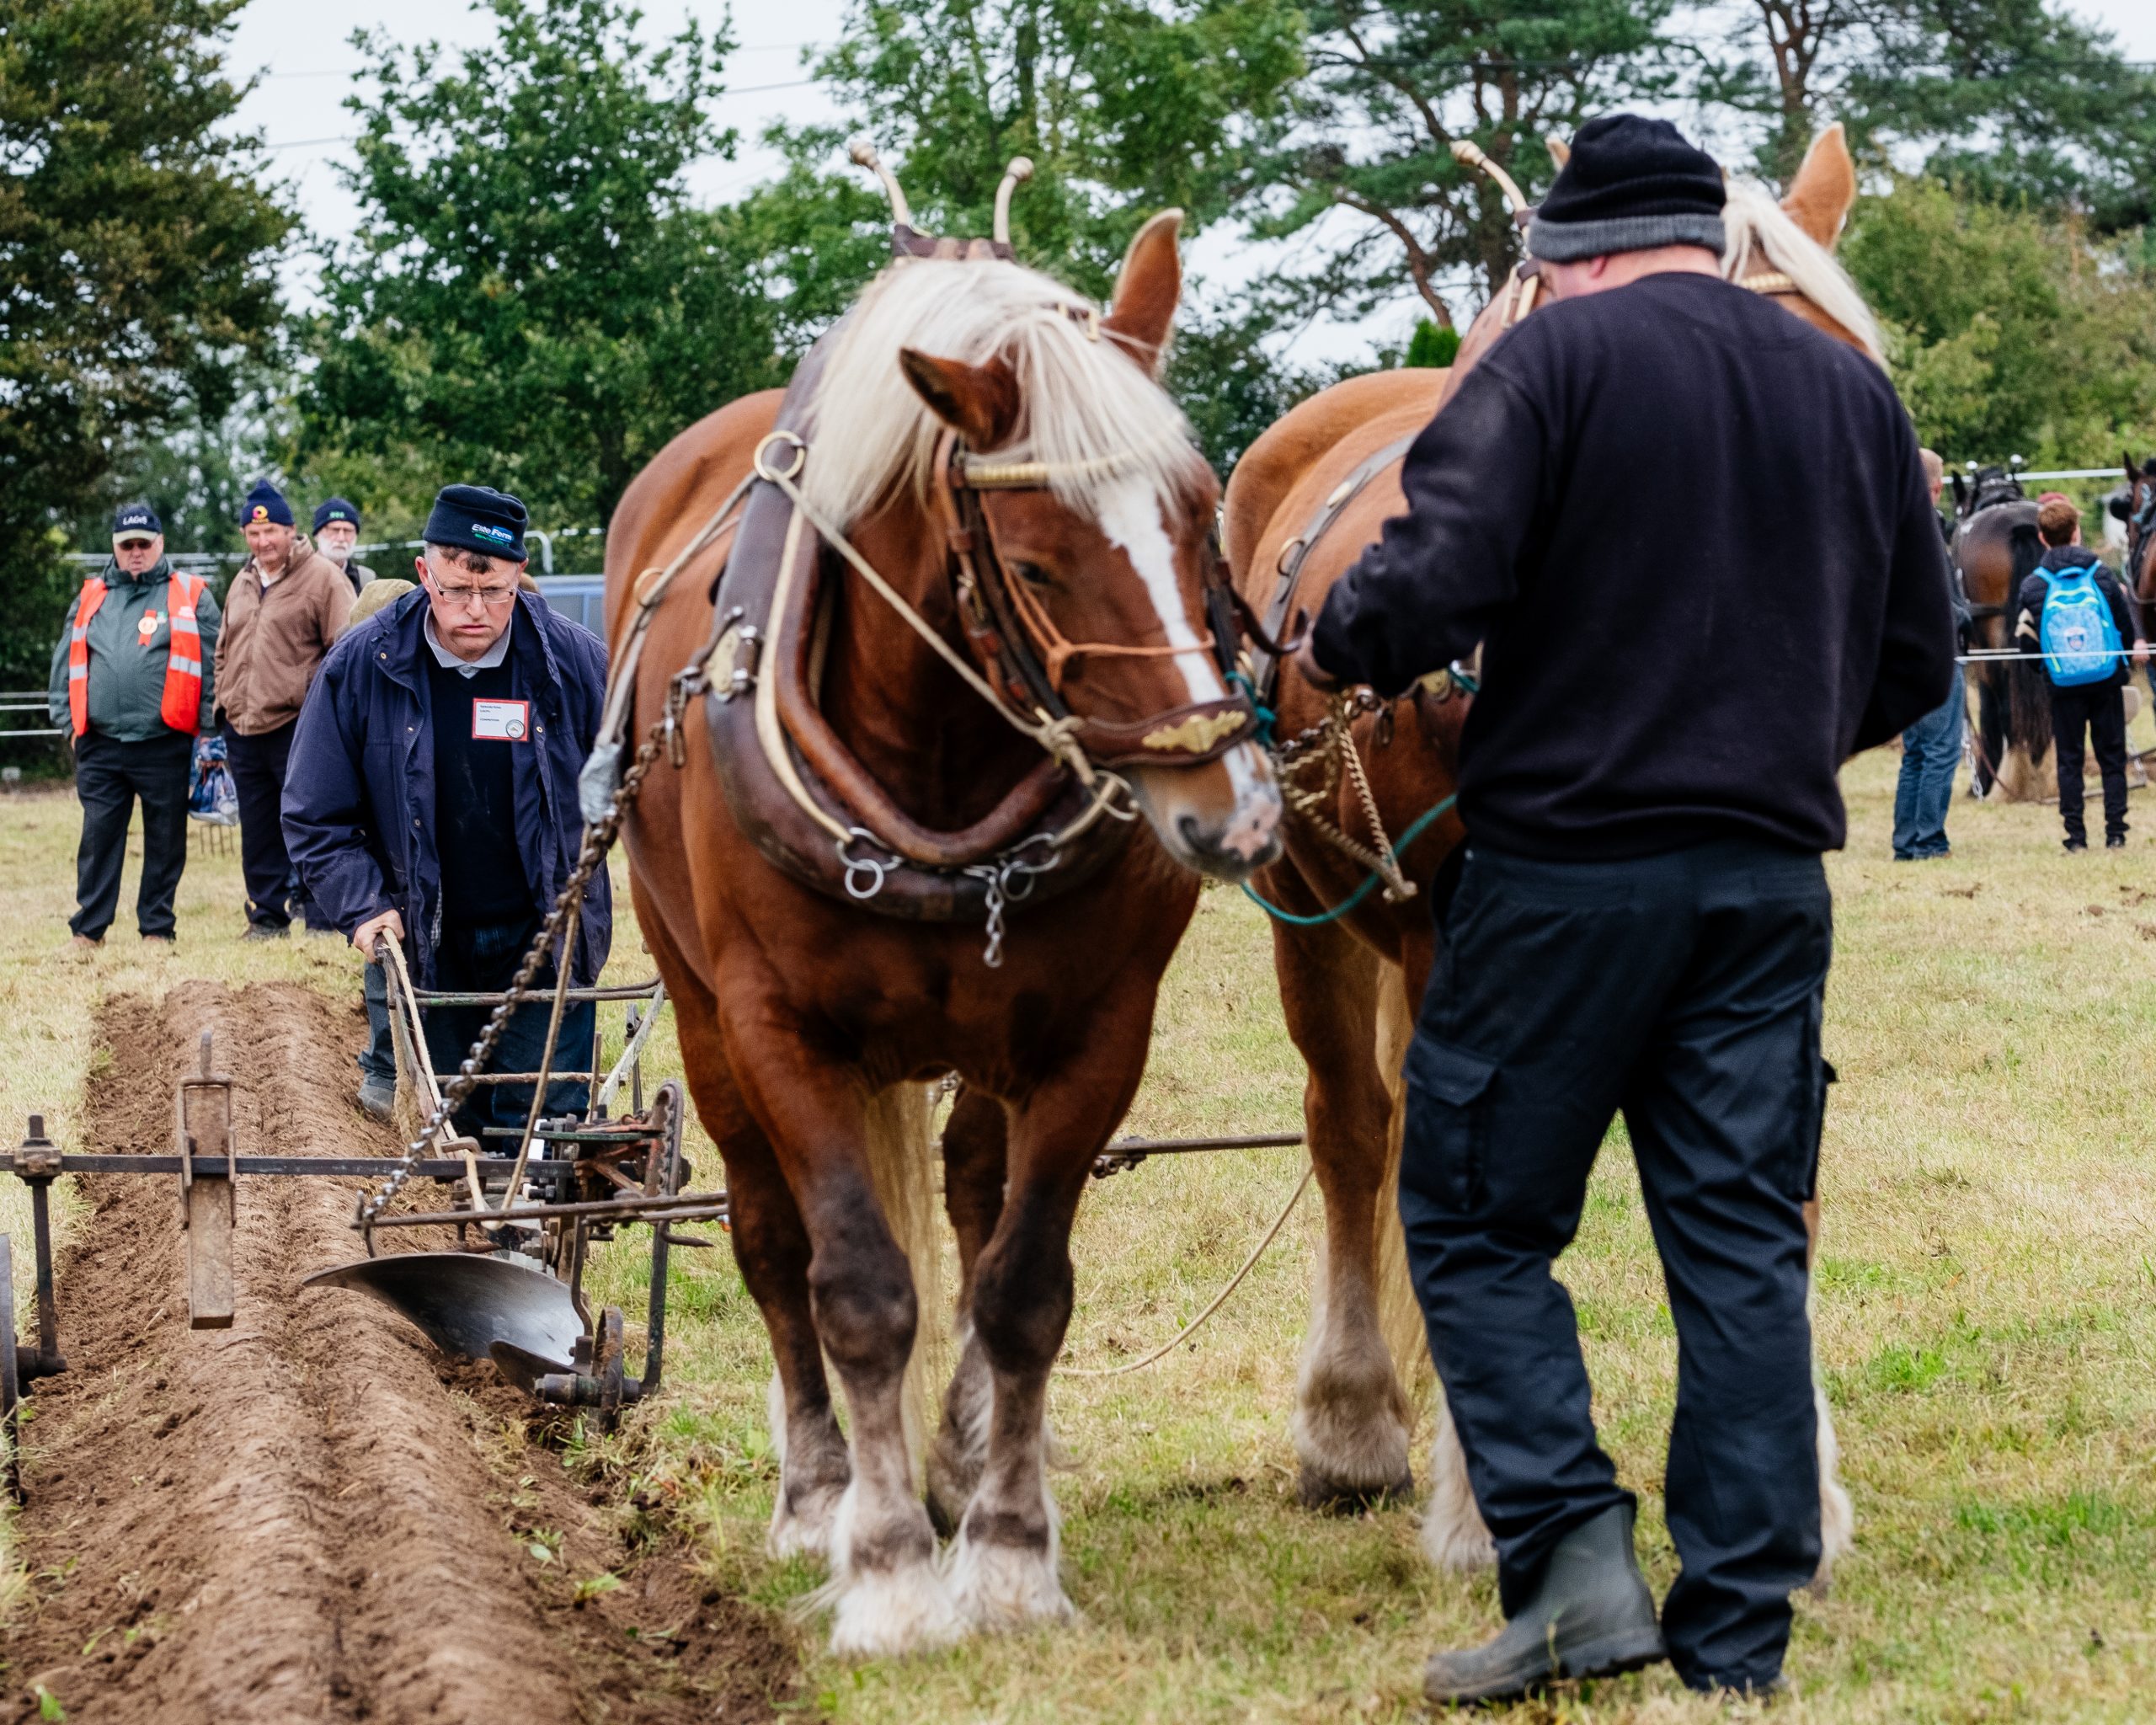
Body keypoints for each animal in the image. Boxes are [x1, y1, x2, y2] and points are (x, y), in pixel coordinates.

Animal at [607, 206, 1276, 1656]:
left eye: (1199, 518)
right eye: (1031, 565)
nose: (1231, 812)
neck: (938, 761)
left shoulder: (1096, 1033)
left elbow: (1025, 1287)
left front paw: (1010, 1553)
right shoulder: (781, 1031)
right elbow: (853, 1288)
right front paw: (887, 1571)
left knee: (975, 1192)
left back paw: (964, 1456)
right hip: (704, 1021)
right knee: (766, 1237)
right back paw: (819, 1490)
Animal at [1225, 121, 1880, 1578]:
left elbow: (1778, 1200)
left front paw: (1801, 1487)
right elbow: (1456, 1176)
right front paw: (1479, 1498)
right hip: (1312, 915)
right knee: (1352, 1132)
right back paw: (1352, 1419)